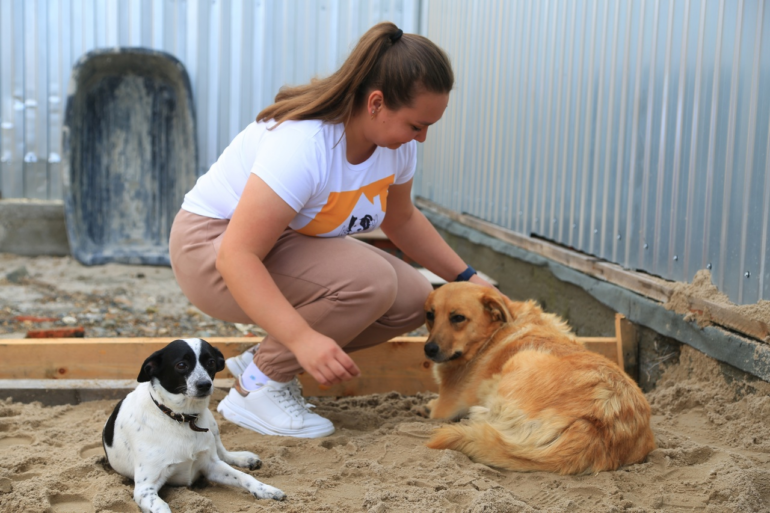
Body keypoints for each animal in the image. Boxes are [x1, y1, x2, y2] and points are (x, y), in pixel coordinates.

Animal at [100, 338, 284, 510]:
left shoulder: (210, 465)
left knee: (223, 452)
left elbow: (243, 476)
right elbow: (162, 506)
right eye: (181, 365)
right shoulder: (144, 489)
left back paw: (245, 458)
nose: (204, 384)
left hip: (213, 424)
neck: (180, 419)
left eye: (211, 362)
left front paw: (266, 490)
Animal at [424, 282, 652, 474]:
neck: (492, 333)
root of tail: (599, 423)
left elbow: (434, 407)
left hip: (521, 359)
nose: (429, 349)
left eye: (458, 318)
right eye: (429, 315)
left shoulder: (444, 408)